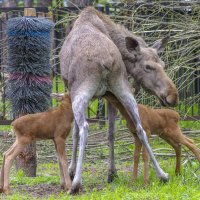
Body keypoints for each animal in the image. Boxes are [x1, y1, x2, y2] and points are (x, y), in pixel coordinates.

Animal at [59, 7, 178, 193]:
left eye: (163, 65)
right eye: (148, 66)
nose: (172, 96)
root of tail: (106, 61)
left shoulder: (70, 90)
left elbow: (74, 133)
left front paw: (71, 171)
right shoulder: (110, 96)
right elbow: (111, 133)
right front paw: (111, 173)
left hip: (81, 92)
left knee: (84, 127)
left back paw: (76, 183)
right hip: (123, 89)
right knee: (140, 128)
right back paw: (162, 175)